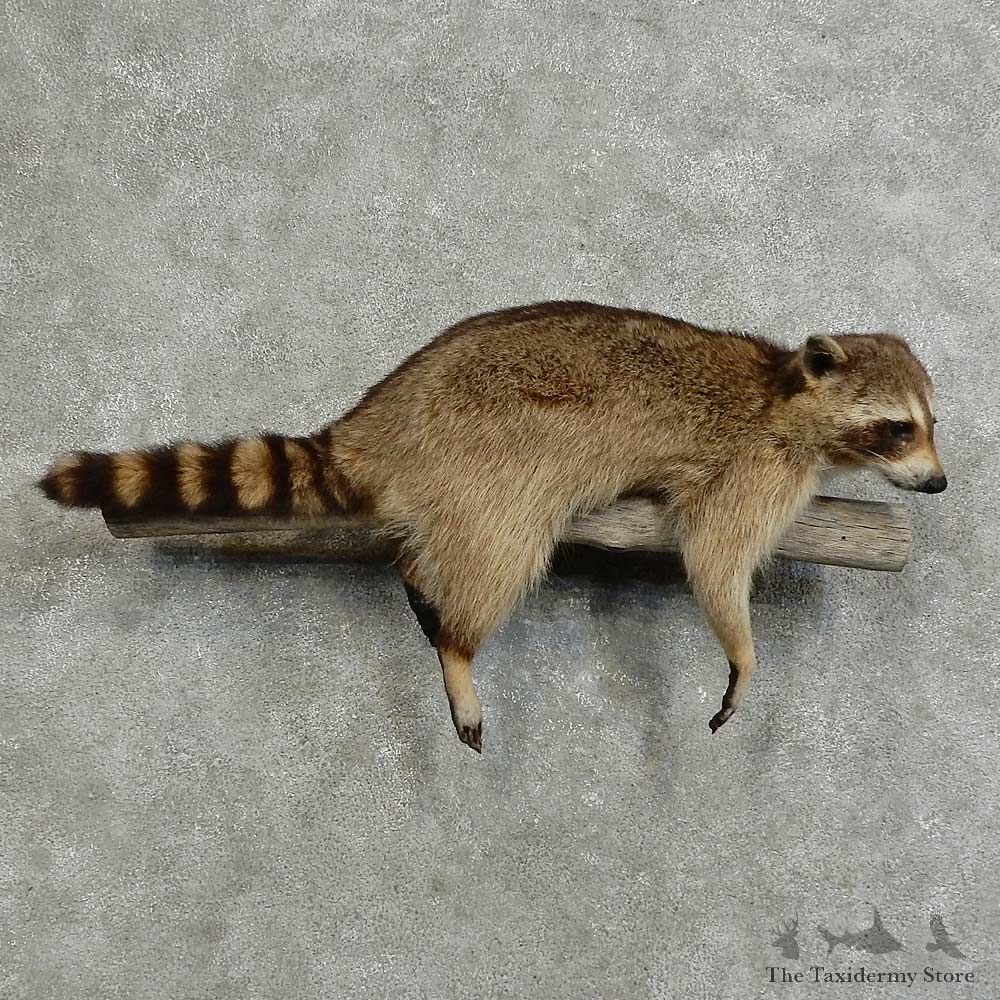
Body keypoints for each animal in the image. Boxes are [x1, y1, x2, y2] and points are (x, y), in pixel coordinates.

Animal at [38, 301, 946, 751]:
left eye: (931, 424)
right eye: (899, 428)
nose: (939, 481)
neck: (786, 391)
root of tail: (376, 420)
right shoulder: (756, 467)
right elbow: (713, 556)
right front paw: (744, 653)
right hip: (495, 463)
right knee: (500, 558)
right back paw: (458, 650)